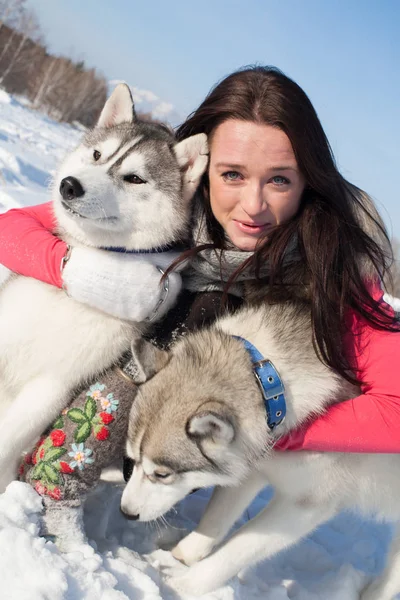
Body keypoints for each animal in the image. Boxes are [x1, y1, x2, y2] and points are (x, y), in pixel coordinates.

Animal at [121, 304, 400, 600]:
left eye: (162, 474)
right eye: (132, 460)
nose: (126, 512)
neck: (271, 386)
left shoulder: (304, 506)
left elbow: (236, 550)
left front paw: (180, 586)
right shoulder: (253, 467)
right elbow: (214, 520)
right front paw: (180, 556)